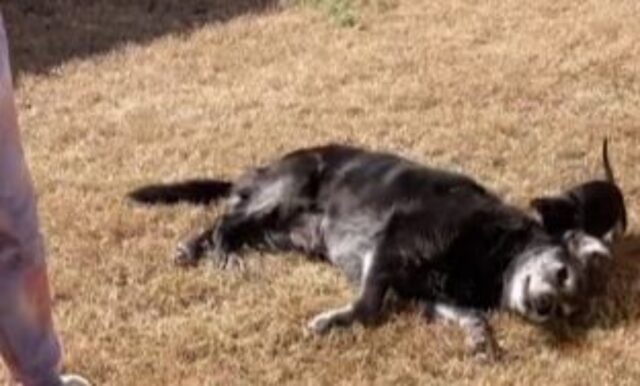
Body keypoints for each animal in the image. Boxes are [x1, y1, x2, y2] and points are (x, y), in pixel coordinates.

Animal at [129, 145, 608, 358]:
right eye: (562, 273)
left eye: (567, 309)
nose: (545, 306)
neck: (493, 255)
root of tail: (261, 169)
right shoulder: (392, 244)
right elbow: (368, 305)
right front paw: (334, 321)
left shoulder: (428, 293)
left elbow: (469, 316)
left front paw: (480, 338)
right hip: (290, 187)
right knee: (228, 224)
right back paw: (223, 256)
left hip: (281, 232)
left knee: (221, 223)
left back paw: (192, 248)